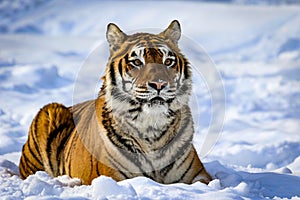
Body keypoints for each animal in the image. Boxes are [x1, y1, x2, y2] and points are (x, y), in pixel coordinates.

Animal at [18, 19, 212, 184]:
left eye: (168, 61)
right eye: (137, 62)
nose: (159, 84)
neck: (152, 127)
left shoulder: (199, 175)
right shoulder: (112, 177)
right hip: (50, 110)